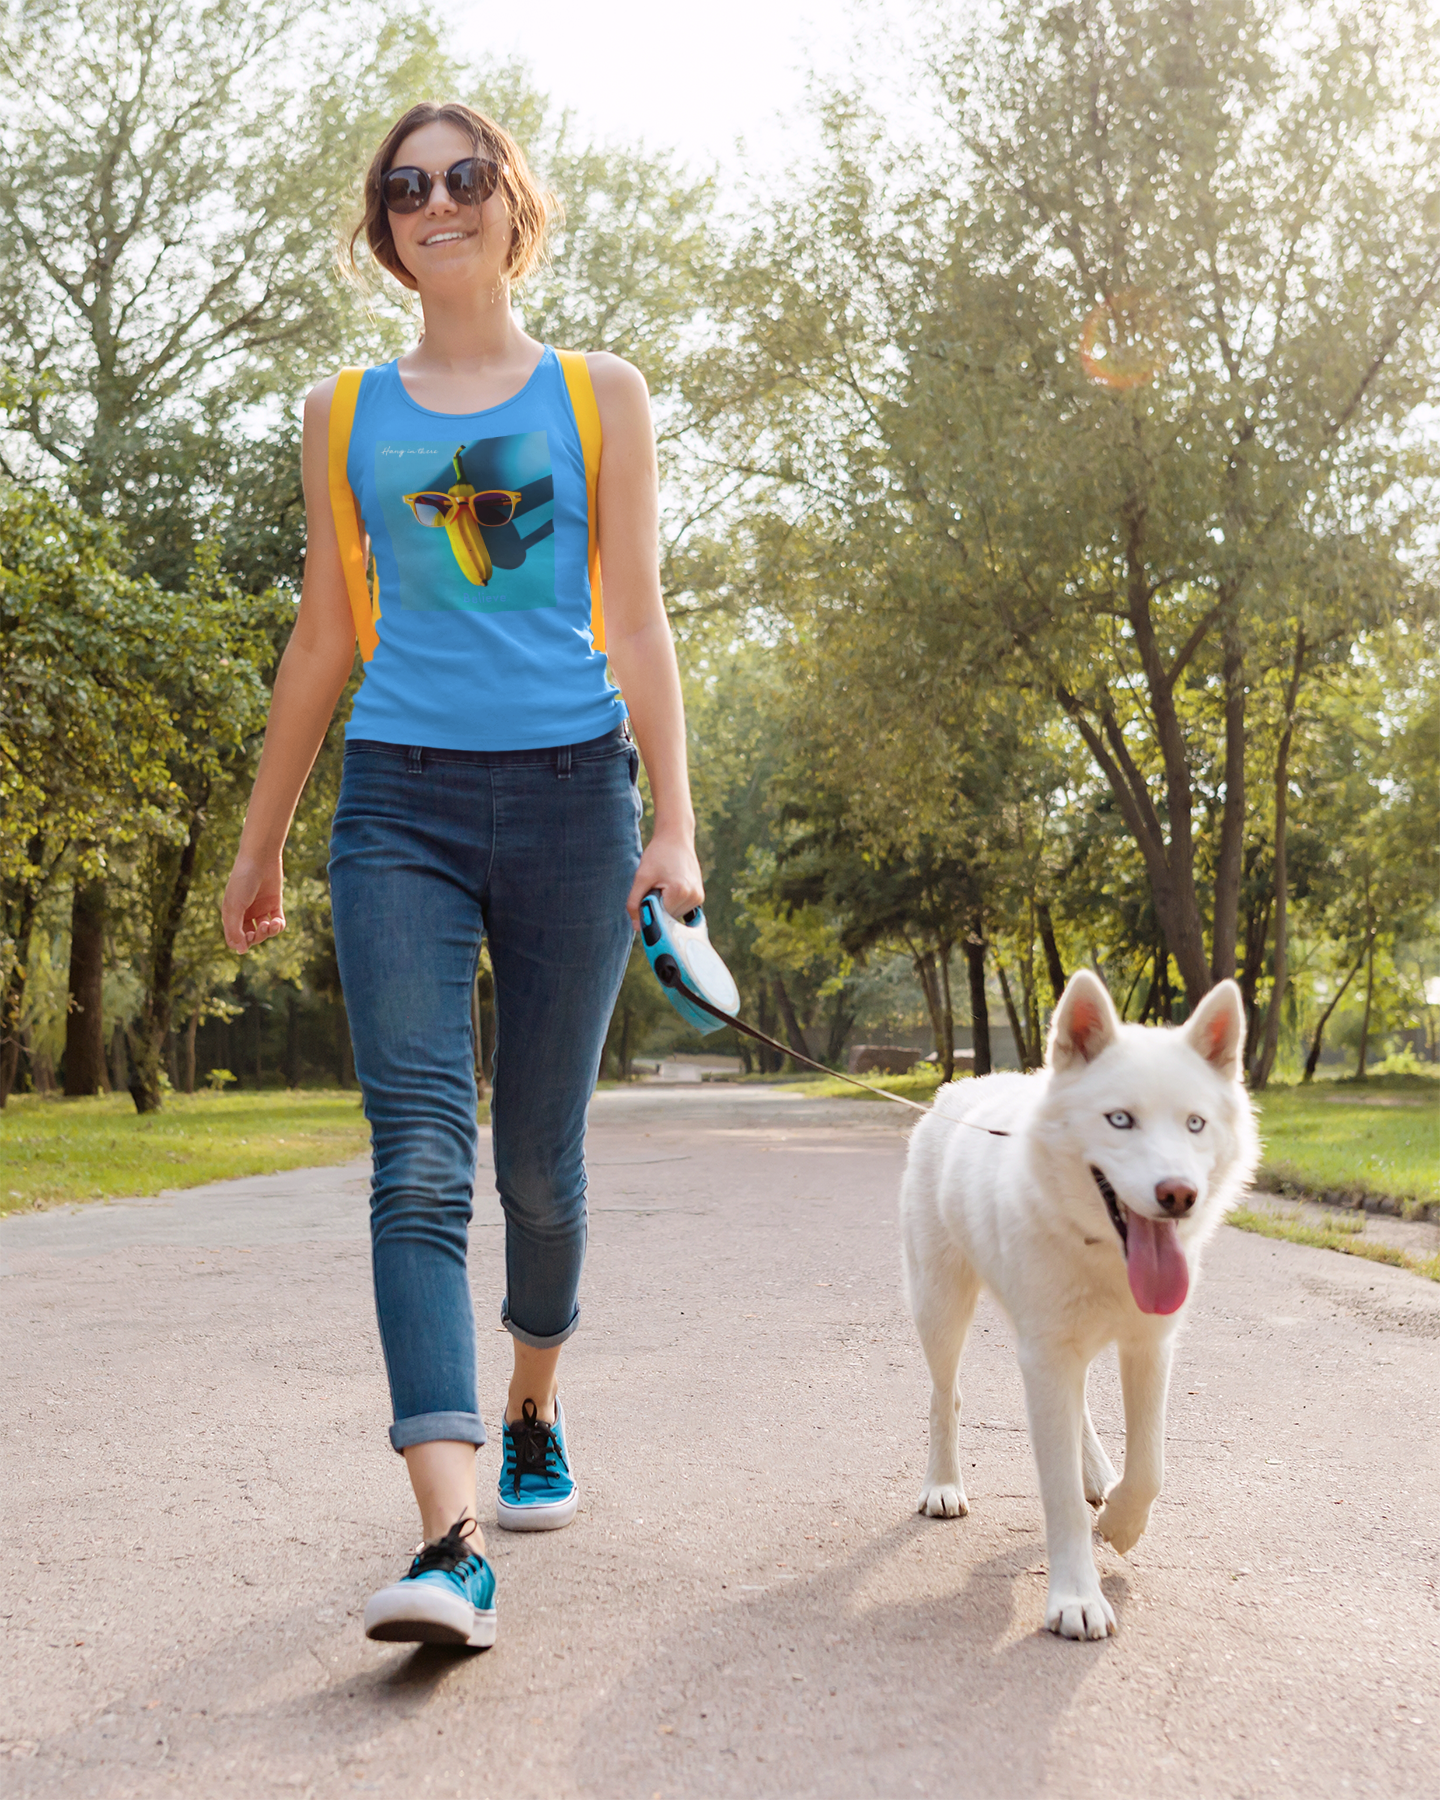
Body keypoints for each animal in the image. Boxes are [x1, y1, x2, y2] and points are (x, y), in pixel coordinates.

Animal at [900, 979, 1260, 1641]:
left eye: (1195, 1123)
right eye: (1120, 1119)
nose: (1179, 1195)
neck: (1103, 1252)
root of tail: (960, 1086)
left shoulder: (1149, 1347)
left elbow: (1150, 1466)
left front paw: (1121, 1522)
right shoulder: (1045, 1359)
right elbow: (1060, 1494)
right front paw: (1075, 1598)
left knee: (1079, 1408)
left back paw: (1096, 1474)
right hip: (940, 1308)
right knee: (945, 1396)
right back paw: (942, 1485)